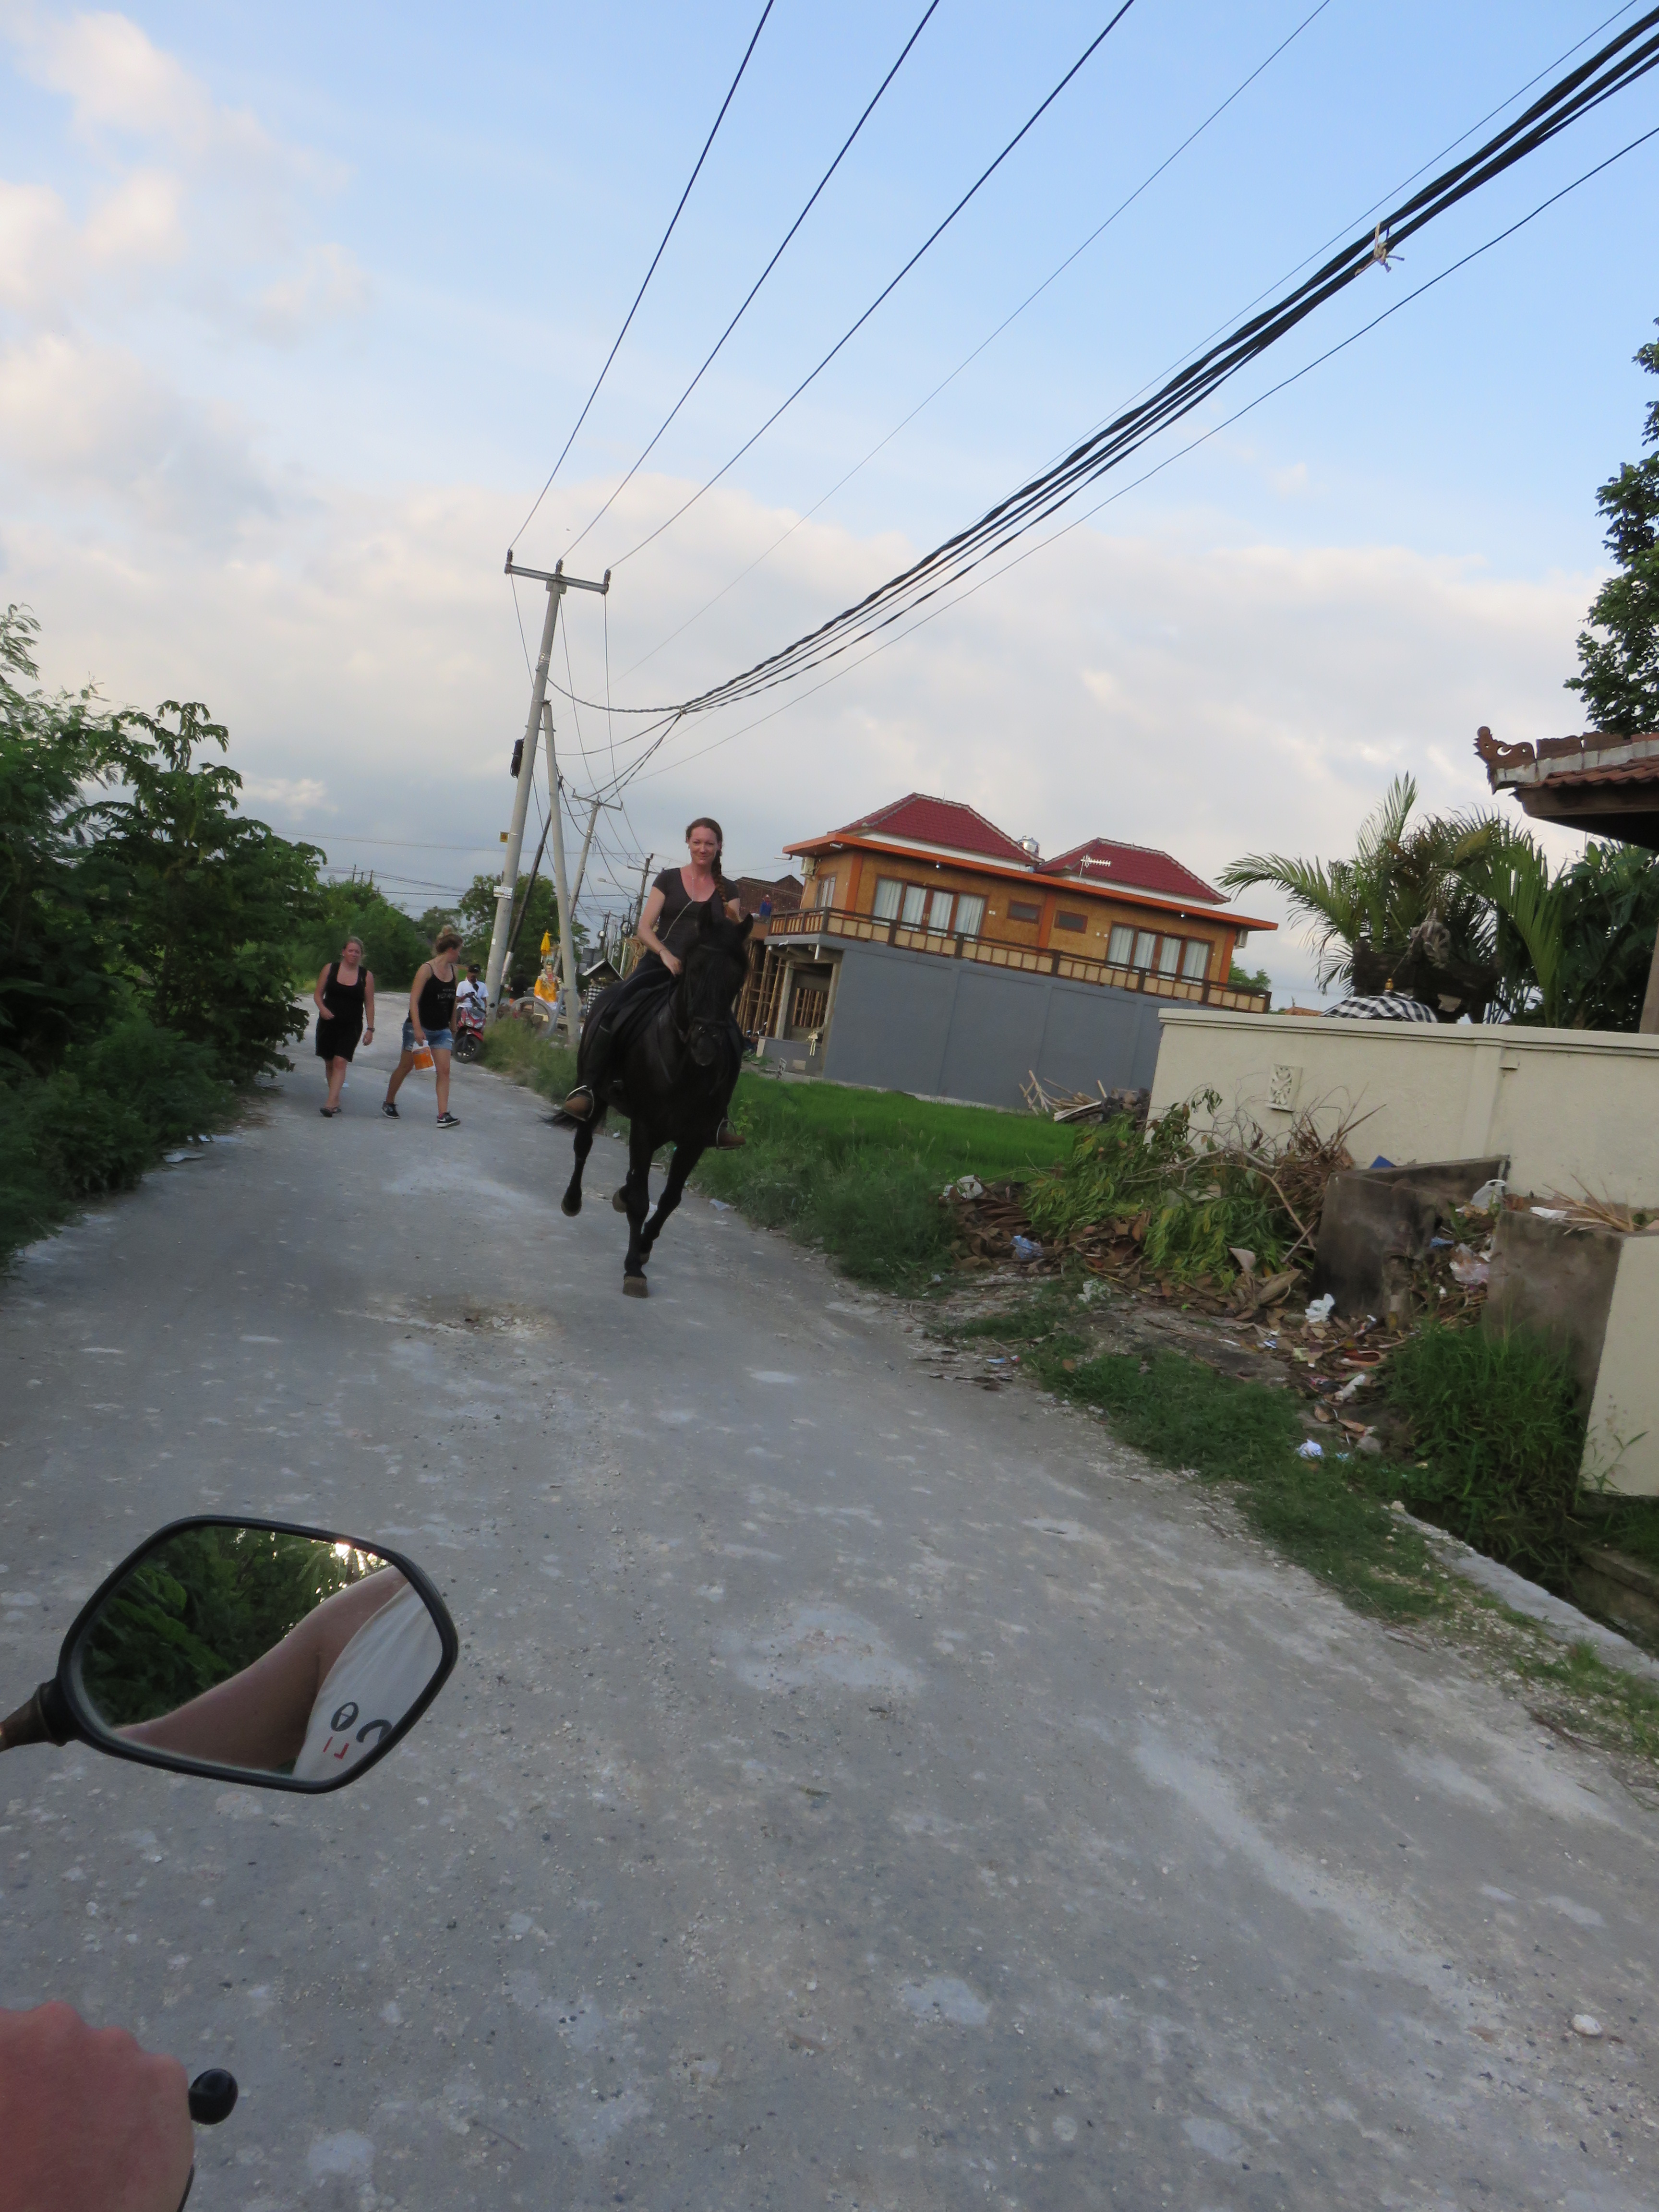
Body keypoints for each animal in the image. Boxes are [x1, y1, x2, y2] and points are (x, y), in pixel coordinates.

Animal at [559, 904, 753, 1296]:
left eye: (737, 978)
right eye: (694, 969)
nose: (706, 1045)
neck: (685, 1065)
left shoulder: (694, 1140)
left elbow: (669, 1199)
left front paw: (645, 1247)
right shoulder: (645, 1128)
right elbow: (640, 1200)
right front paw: (634, 1268)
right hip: (597, 1098)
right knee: (583, 1145)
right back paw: (573, 1200)